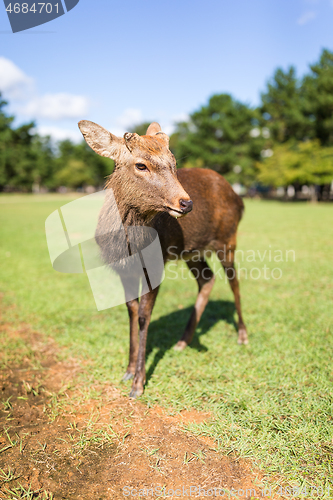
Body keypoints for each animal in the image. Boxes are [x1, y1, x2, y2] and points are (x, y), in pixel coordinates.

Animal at [76, 119, 245, 396]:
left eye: (173, 163)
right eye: (141, 165)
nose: (186, 203)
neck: (129, 247)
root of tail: (240, 199)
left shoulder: (155, 265)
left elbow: (145, 316)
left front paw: (138, 383)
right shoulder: (124, 270)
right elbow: (131, 311)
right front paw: (128, 370)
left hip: (228, 238)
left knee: (234, 281)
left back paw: (242, 335)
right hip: (192, 251)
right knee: (207, 279)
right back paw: (183, 341)